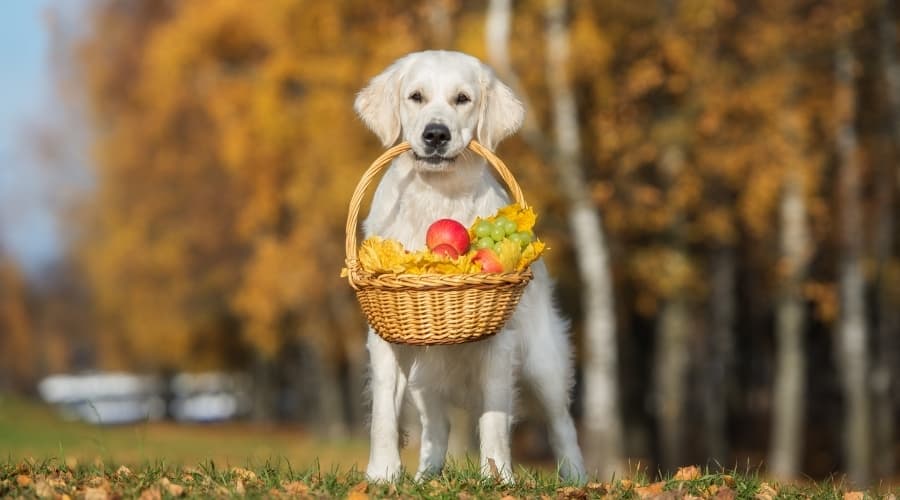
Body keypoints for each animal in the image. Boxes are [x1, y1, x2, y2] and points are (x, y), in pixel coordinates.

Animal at [356, 49, 588, 480]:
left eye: (462, 99)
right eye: (416, 96)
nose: (436, 134)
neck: (437, 195)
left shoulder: (498, 343)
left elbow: (494, 420)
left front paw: (497, 478)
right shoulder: (385, 334)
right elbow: (383, 414)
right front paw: (382, 474)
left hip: (544, 360)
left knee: (562, 422)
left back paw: (576, 476)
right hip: (426, 378)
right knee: (437, 425)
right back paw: (426, 475)